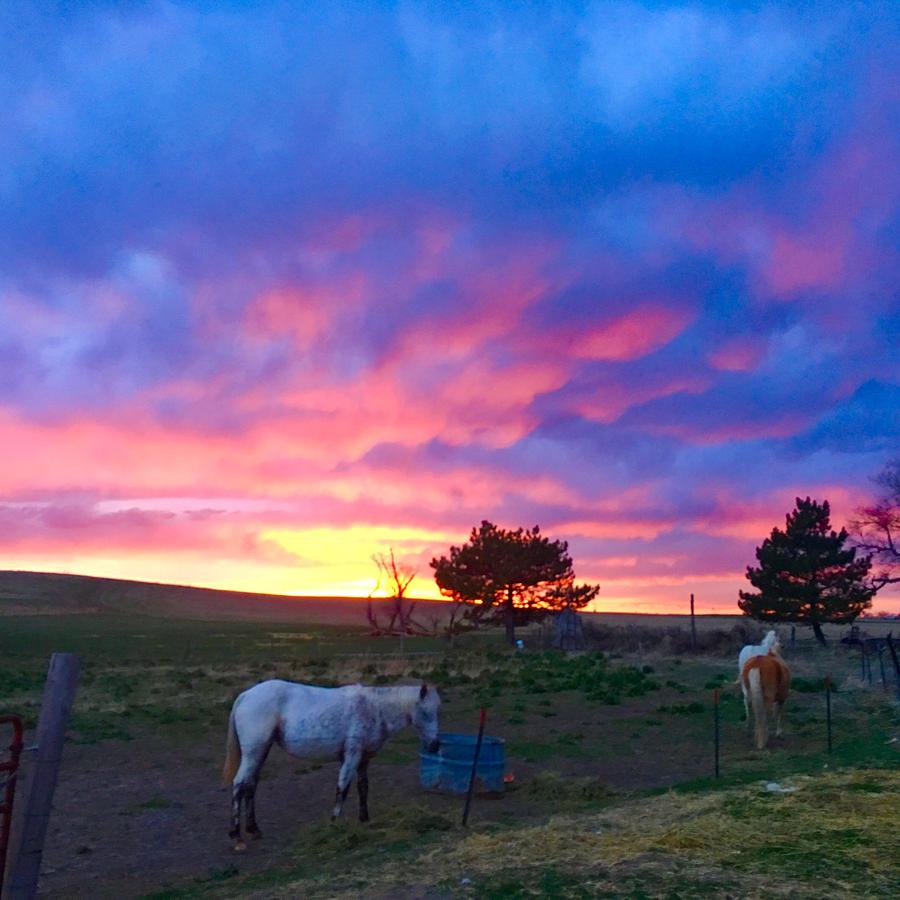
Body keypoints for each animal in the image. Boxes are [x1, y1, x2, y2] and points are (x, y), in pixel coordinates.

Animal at [221, 684, 440, 852]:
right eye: (425, 712)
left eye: (438, 711)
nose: (435, 745)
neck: (373, 708)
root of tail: (246, 695)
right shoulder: (351, 756)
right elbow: (342, 788)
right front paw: (333, 824)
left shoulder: (363, 760)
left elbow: (363, 787)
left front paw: (365, 820)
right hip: (253, 753)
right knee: (239, 784)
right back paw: (236, 837)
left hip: (260, 753)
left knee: (251, 785)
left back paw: (253, 829)